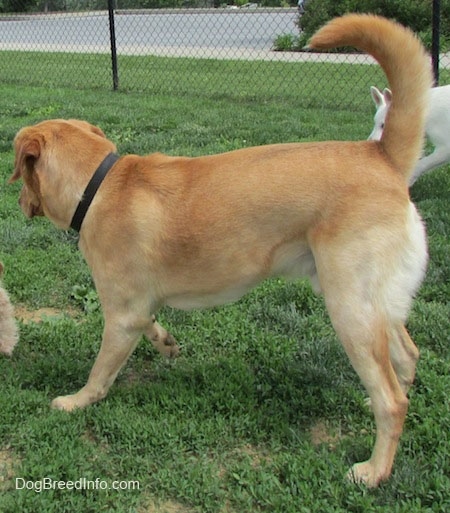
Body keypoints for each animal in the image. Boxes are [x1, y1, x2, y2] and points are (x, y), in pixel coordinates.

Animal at [9, 14, 432, 486]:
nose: (18, 201)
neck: (98, 186)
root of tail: (382, 156)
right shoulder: (137, 310)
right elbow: (153, 326)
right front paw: (167, 344)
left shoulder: (120, 315)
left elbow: (101, 371)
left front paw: (77, 401)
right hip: (374, 303)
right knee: (406, 359)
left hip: (349, 308)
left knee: (391, 399)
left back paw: (374, 470)